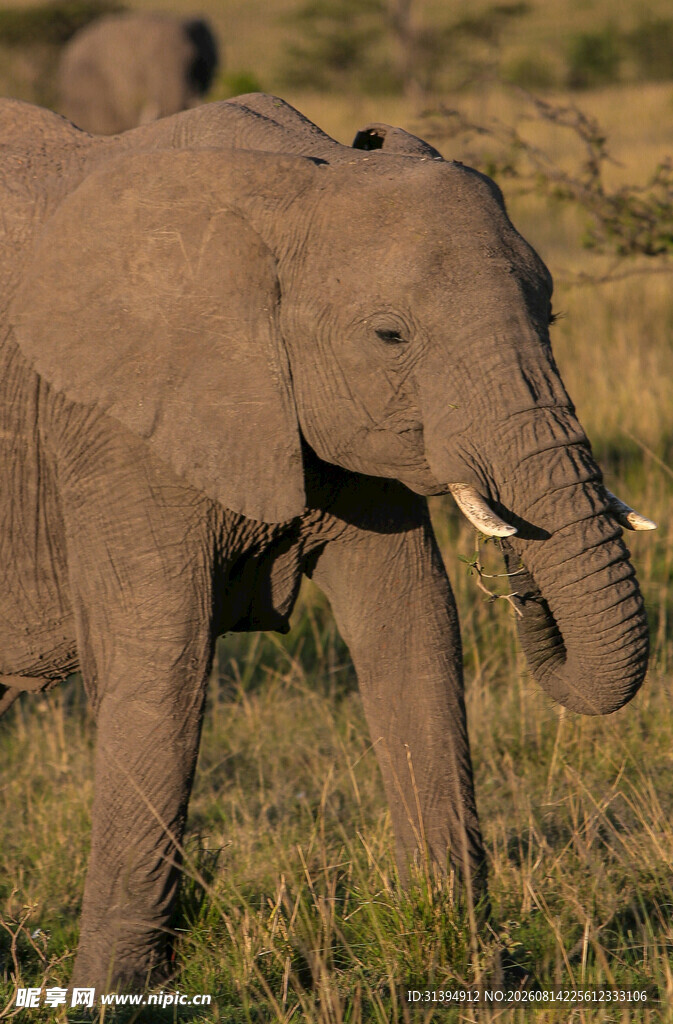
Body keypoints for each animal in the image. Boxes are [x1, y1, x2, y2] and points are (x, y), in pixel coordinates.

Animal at [0, 92, 655, 992]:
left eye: (550, 314)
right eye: (389, 337)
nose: (516, 573)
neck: (296, 186)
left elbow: (413, 627)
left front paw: (468, 964)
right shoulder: (114, 425)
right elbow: (162, 662)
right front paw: (108, 992)